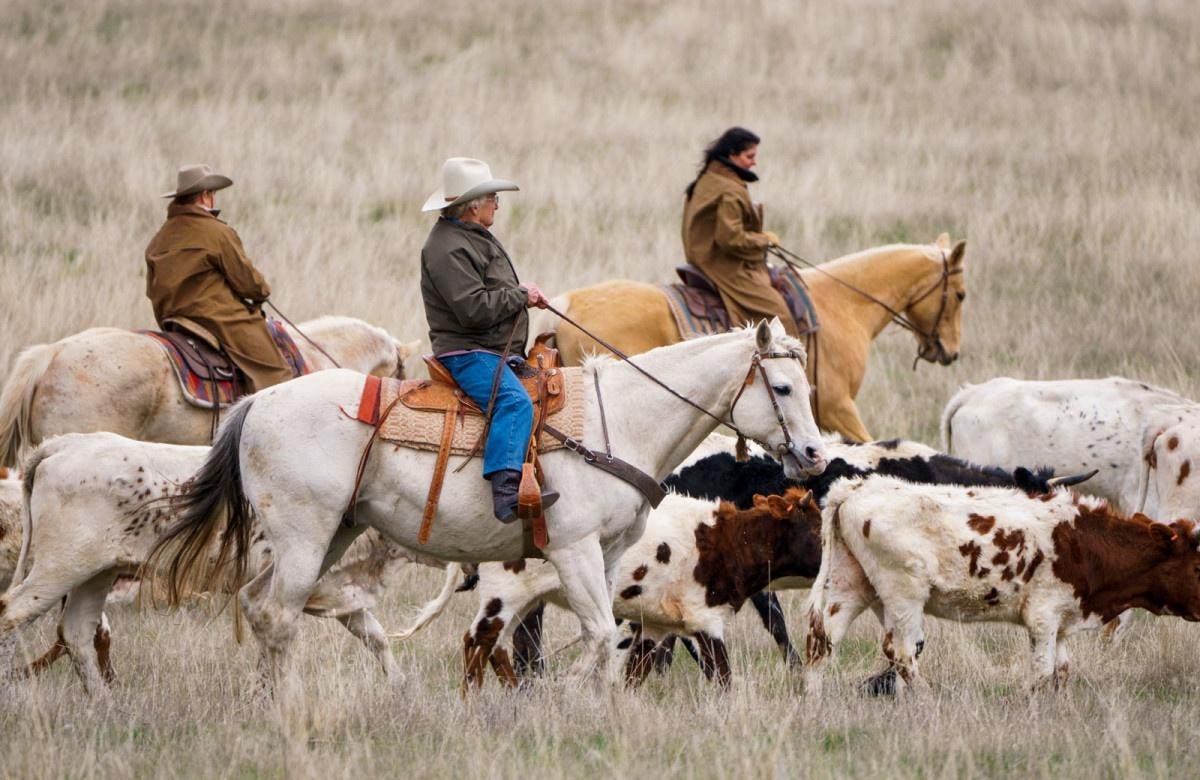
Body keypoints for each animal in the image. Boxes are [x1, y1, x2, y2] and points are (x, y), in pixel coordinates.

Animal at [147, 319, 825, 691]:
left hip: (329, 533)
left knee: (258, 604)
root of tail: (256, 405)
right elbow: (600, 633)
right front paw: (566, 696)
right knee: (279, 615)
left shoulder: (608, 555)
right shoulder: (573, 549)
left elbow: (611, 639)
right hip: (304, 536)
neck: (620, 420)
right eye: (782, 387)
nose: (815, 454)